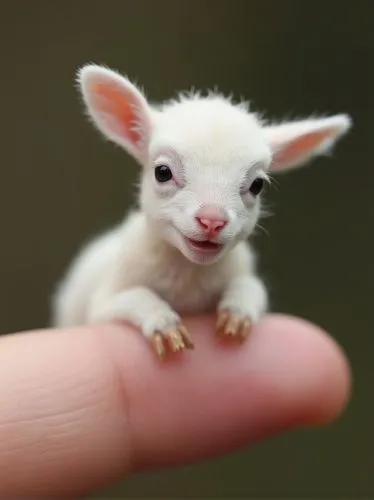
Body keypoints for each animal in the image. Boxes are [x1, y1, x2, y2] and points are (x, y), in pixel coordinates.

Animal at [51, 65, 352, 360]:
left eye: (257, 185)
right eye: (162, 172)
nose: (212, 221)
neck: (189, 277)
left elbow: (254, 287)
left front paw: (237, 313)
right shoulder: (103, 303)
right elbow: (131, 298)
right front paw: (163, 324)